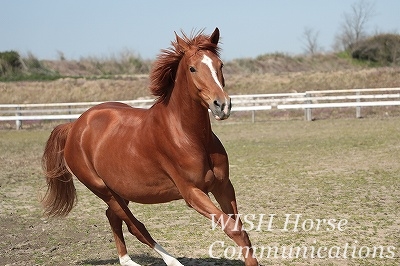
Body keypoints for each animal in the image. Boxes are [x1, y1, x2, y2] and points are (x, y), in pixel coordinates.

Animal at [42, 28, 258, 264]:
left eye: (220, 65)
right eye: (192, 68)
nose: (222, 105)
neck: (189, 136)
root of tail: (75, 126)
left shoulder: (224, 186)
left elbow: (241, 229)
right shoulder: (193, 193)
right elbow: (234, 230)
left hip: (121, 190)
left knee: (113, 217)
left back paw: (126, 260)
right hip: (103, 189)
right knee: (136, 227)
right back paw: (171, 261)